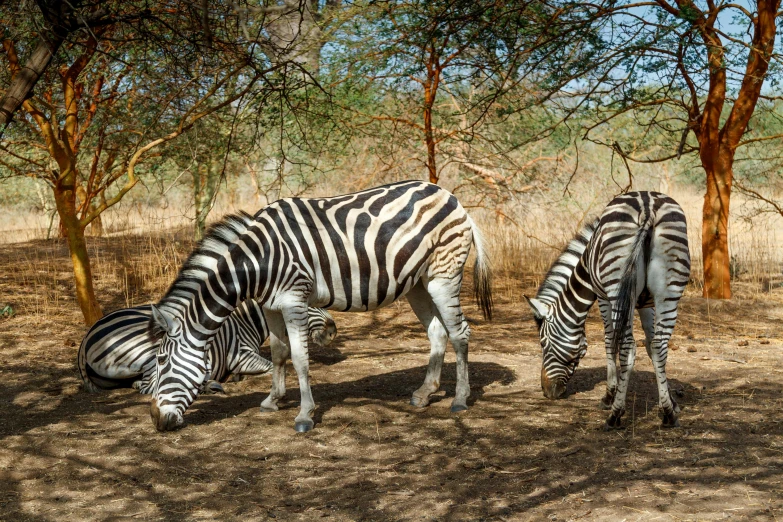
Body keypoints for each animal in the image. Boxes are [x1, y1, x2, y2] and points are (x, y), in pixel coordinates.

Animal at [78, 300, 338, 394]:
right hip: (150, 350)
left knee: (139, 384)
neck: (244, 321)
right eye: (310, 303)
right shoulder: (241, 355)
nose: (333, 331)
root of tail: (86, 336)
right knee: (150, 385)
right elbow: (268, 366)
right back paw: (209, 385)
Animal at [147, 181, 494, 432]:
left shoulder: (294, 300)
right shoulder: (270, 306)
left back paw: (460, 399)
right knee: (438, 332)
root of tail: (450, 196)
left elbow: (300, 359)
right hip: (418, 284)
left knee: (460, 332)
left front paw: (304, 415)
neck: (256, 263)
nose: (154, 420)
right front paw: (272, 400)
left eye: (161, 362)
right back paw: (424, 393)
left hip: (443, 275)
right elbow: (278, 353)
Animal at [528, 191, 692, 426]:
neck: (586, 266)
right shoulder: (646, 303)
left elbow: (608, 341)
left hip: (616, 286)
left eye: (543, 343)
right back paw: (668, 416)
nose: (547, 391)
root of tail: (647, 206)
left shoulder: (602, 297)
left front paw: (609, 395)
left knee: (627, 347)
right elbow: (651, 344)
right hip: (668, 292)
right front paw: (669, 402)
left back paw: (615, 413)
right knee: (660, 345)